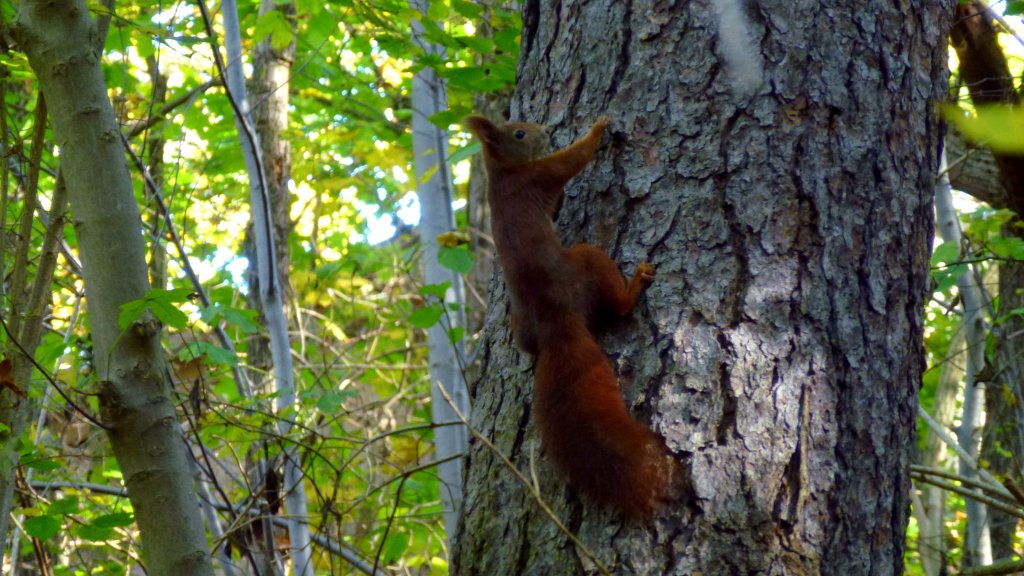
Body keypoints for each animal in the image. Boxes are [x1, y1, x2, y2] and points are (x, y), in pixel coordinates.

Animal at [468, 114, 675, 512]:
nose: (546, 131)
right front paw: (598, 129)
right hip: (586, 261)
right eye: (519, 133)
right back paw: (635, 284)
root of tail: (557, 323)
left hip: (524, 328)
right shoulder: (540, 174)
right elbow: (573, 160)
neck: (501, 171)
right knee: (618, 306)